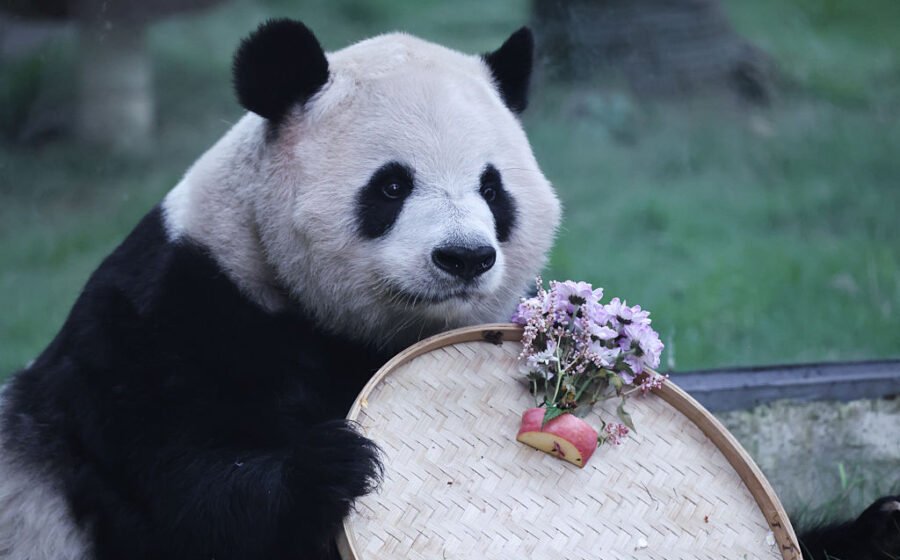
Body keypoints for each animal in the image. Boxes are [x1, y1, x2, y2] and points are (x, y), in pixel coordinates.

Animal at [0, 20, 560, 560]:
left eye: (492, 189)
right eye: (392, 186)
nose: (464, 257)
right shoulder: (163, 323)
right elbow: (180, 486)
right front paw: (332, 465)